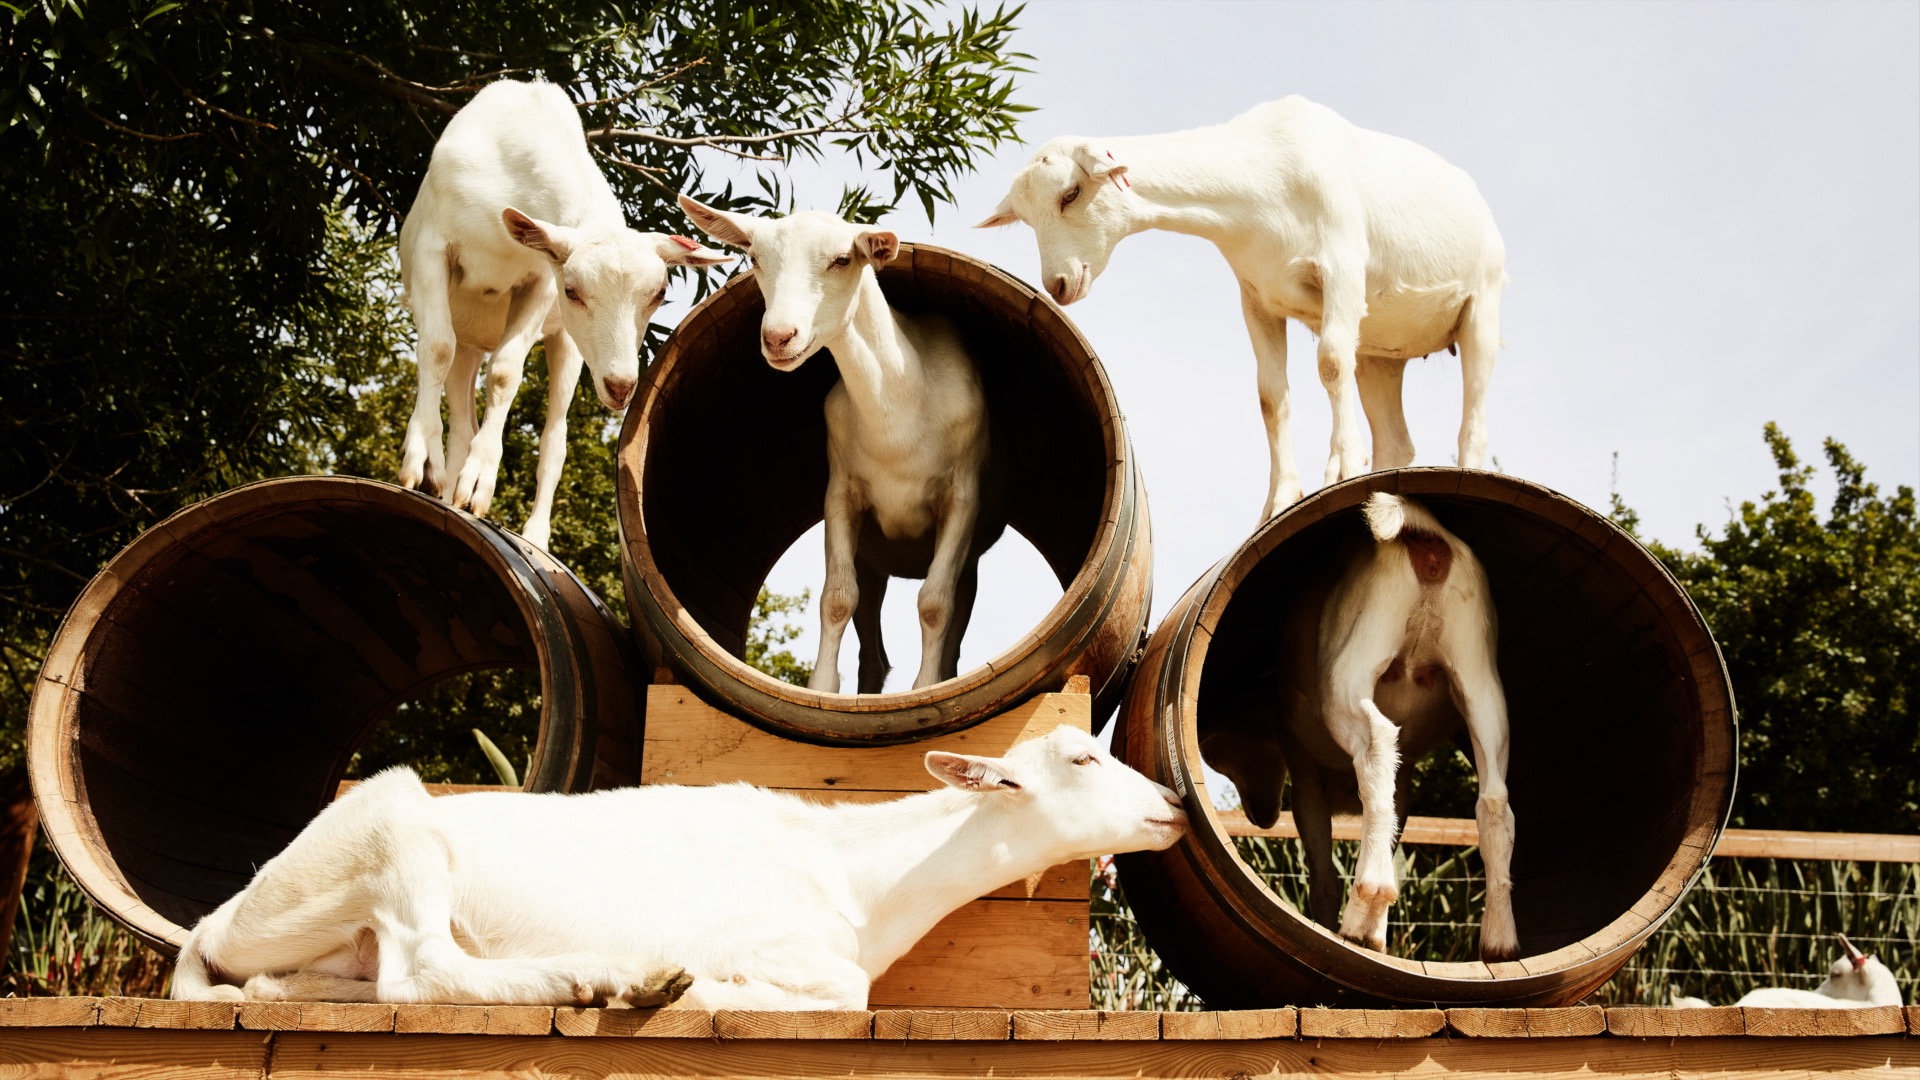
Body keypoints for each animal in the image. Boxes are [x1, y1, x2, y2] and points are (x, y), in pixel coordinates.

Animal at [169, 725, 1186, 1009]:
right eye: (1084, 758)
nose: (1175, 805)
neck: (854, 874)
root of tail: (215, 919)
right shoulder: (774, 938)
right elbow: (848, 991)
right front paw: (712, 989)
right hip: (392, 827)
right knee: (419, 975)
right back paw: (613, 979)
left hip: (323, 925)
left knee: (316, 980)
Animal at [397, 80, 725, 549]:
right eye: (573, 291)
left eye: (659, 293)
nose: (621, 386)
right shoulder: (433, 249)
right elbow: (437, 348)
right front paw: (423, 462)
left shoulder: (537, 279)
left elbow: (505, 372)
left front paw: (477, 485)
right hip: (470, 335)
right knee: (459, 398)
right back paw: (446, 483)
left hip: (566, 345)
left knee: (553, 437)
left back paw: (529, 534)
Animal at [678, 195, 1007, 693]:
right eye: (755, 258)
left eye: (842, 259)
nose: (779, 337)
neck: (902, 415)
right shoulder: (841, 494)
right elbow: (835, 598)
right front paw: (820, 691)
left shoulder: (961, 495)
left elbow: (934, 604)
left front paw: (926, 689)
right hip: (873, 562)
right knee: (873, 652)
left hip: (965, 565)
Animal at [979, 97, 1507, 520]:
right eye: (1028, 219)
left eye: (1070, 194)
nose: (1058, 284)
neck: (1261, 185)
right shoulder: (1257, 296)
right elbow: (1271, 396)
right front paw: (1280, 501)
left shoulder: (1342, 268)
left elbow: (1331, 362)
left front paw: (1340, 467)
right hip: (1381, 349)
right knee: (1396, 437)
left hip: (1481, 306)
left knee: (1475, 424)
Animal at [1202, 492, 1517, 961]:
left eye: (1225, 755)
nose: (1260, 817)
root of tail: (1425, 539)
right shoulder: (1404, 786)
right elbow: (1390, 820)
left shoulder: (1304, 777)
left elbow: (1323, 877)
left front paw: (1336, 924)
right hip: (1478, 674)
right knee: (1494, 797)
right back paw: (1500, 940)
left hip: (1352, 663)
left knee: (1377, 740)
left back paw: (1365, 907)